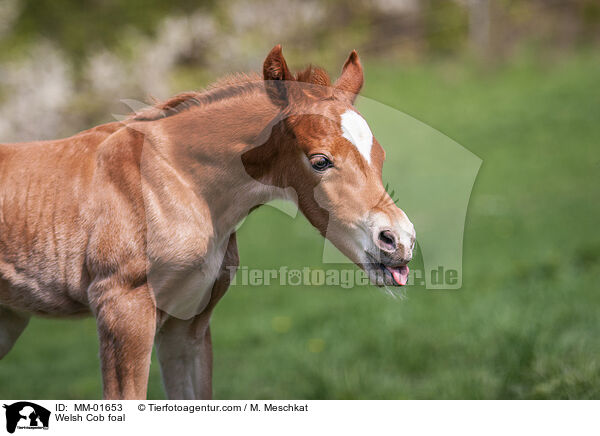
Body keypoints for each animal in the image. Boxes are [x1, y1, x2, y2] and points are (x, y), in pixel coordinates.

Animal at [0, 46, 412, 398]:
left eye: (379, 155)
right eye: (320, 160)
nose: (398, 240)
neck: (171, 181)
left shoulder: (188, 325)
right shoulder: (121, 310)